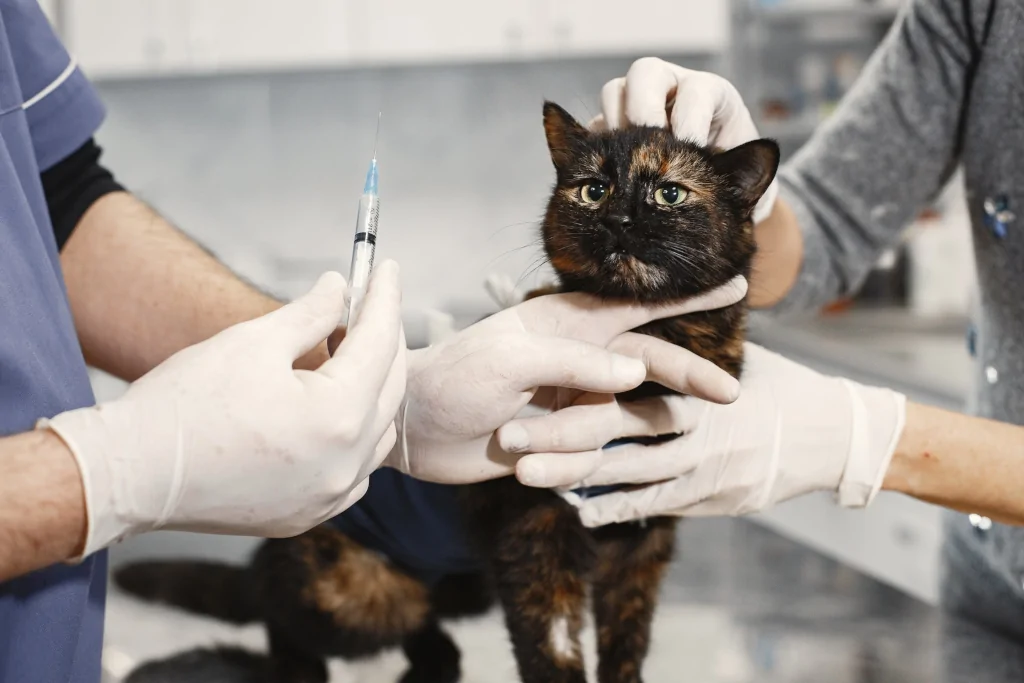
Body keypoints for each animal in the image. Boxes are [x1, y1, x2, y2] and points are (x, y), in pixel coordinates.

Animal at [112, 101, 778, 683]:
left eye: (670, 193)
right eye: (593, 189)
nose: (617, 220)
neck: (648, 342)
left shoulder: (642, 535)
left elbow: (627, 643)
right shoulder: (534, 529)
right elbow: (553, 648)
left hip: (462, 585)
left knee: (425, 622)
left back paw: (435, 664)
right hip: (353, 593)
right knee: (286, 619)